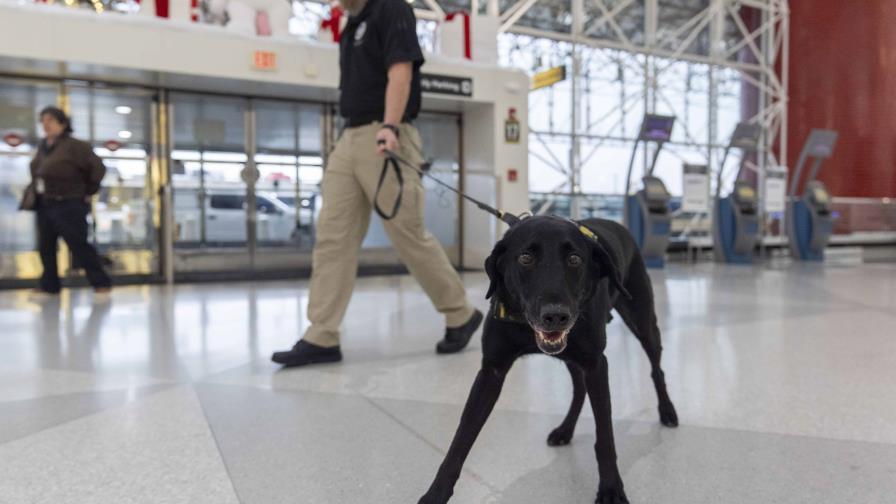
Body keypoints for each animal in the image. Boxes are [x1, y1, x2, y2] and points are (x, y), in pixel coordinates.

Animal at [420, 216, 680, 504]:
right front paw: (435, 494)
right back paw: (566, 429)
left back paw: (667, 411)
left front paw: (611, 488)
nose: (556, 316)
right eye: (525, 258)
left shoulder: (596, 364)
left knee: (657, 370)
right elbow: (461, 438)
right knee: (579, 389)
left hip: (642, 322)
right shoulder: (491, 371)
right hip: (571, 357)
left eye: (575, 259)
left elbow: (605, 437)